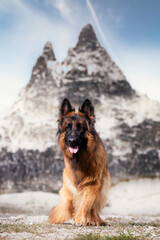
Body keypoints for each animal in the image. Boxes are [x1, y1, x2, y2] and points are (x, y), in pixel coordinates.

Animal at [48, 98, 111, 226]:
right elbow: (83, 203)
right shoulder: (74, 184)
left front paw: (82, 219)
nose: (72, 141)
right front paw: (83, 219)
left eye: (81, 127)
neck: (80, 158)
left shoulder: (94, 183)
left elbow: (87, 202)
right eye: (67, 127)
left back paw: (98, 220)